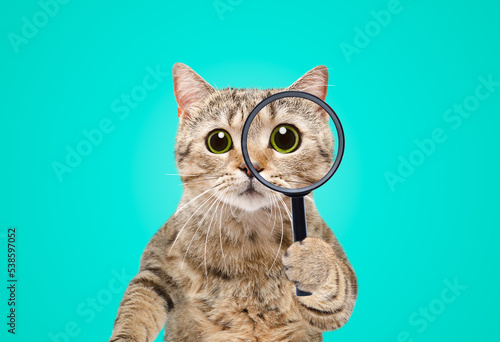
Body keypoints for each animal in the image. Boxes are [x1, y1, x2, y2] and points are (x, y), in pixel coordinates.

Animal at [110, 64, 360, 342]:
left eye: (285, 138)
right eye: (218, 141)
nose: (251, 168)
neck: (250, 235)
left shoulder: (336, 289)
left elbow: (340, 289)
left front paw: (311, 260)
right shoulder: (156, 267)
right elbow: (137, 309)